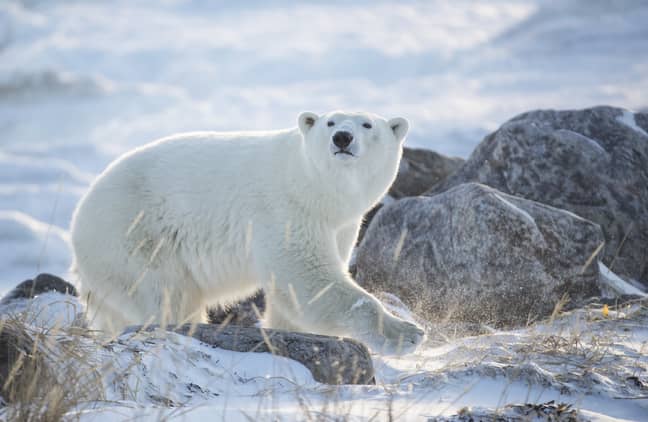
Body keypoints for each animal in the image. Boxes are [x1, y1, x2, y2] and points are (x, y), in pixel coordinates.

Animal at [72, 111, 426, 352]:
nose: (342, 137)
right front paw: (407, 333)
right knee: (168, 295)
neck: (311, 186)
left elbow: (294, 296)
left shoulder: (340, 225)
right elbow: (308, 279)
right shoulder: (285, 210)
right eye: (330, 122)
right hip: (135, 236)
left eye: (367, 125)